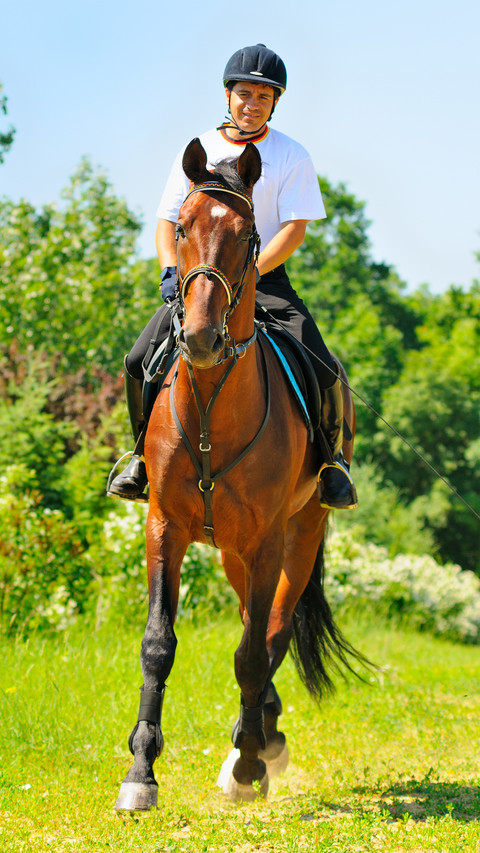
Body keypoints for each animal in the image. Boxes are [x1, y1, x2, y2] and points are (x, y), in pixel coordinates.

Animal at [114, 138, 362, 810]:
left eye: (248, 234)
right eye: (182, 226)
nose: (199, 338)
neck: (211, 406)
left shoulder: (268, 540)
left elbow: (253, 653)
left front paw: (250, 766)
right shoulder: (165, 527)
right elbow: (157, 644)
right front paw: (140, 773)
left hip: (297, 538)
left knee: (270, 634)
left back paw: (257, 744)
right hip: (230, 551)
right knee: (257, 628)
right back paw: (258, 728)